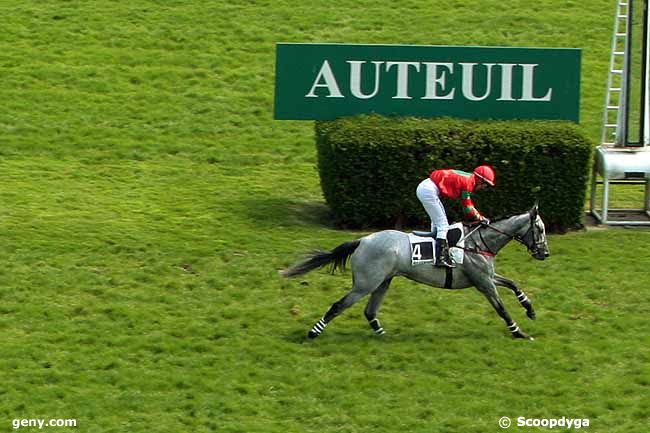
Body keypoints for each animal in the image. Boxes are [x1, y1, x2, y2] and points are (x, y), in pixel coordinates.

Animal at [280, 204, 548, 340]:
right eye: (540, 230)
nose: (544, 253)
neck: (479, 242)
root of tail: (362, 240)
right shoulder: (483, 282)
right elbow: (501, 308)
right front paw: (519, 332)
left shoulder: (488, 277)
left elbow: (513, 284)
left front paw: (530, 310)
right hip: (366, 284)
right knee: (339, 305)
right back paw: (313, 332)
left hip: (383, 281)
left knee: (369, 311)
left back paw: (382, 334)